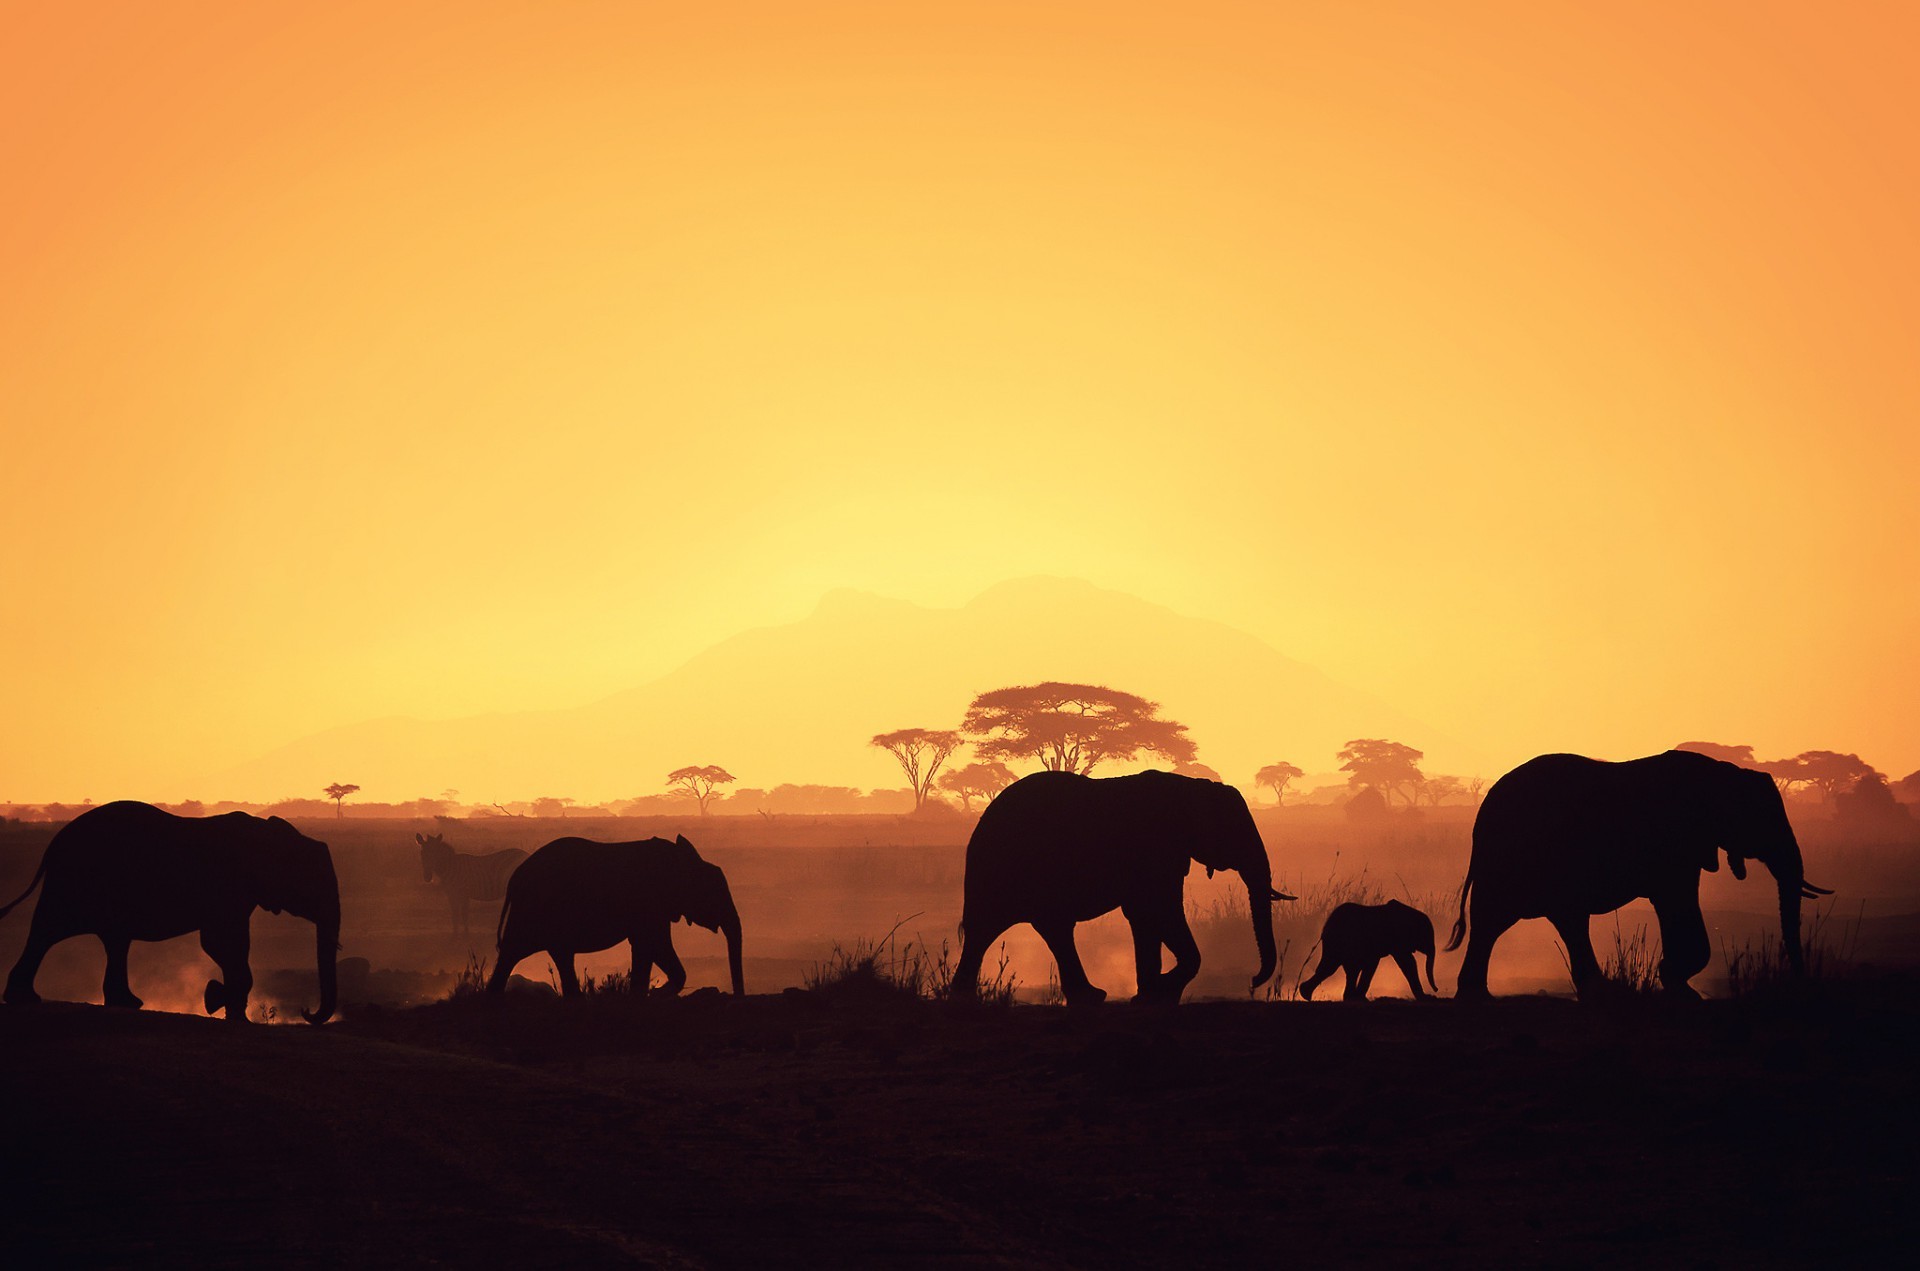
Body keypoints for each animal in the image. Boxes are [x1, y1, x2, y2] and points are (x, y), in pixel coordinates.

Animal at [0, 806, 337, 1029]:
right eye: (313, 882)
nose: (306, 1010)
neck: (268, 834)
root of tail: (54, 843)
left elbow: (229, 944)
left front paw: (224, 1006)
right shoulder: (225, 889)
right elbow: (221, 943)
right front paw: (218, 1002)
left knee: (113, 941)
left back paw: (126, 1003)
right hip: (72, 881)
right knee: (47, 931)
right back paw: (24, 998)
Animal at [487, 837, 741, 1006]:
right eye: (715, 892)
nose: (738, 998)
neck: (683, 860)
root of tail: (514, 879)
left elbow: (646, 947)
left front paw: (643, 995)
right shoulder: (650, 903)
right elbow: (655, 944)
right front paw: (653, 994)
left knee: (551, 953)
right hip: (533, 909)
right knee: (516, 950)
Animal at [948, 771, 1290, 1013]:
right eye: (1237, 832)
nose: (1253, 981)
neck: (1191, 787)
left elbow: (1145, 916)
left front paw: (1153, 996)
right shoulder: (1154, 849)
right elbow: (1160, 911)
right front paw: (1157, 992)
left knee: (1035, 928)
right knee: (1001, 927)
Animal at [1297, 902, 1436, 998]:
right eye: (1426, 937)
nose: (1436, 990)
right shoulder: (1396, 938)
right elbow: (1407, 962)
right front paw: (1427, 998)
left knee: (1343, 968)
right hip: (1337, 942)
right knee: (1332, 967)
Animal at [1443, 752, 1835, 998]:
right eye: (1763, 820)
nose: (1800, 983)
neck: (1723, 774)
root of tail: (1482, 815)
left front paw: (1678, 985)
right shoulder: (1674, 841)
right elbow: (1676, 899)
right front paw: (1680, 985)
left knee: (1546, 919)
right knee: (1504, 918)